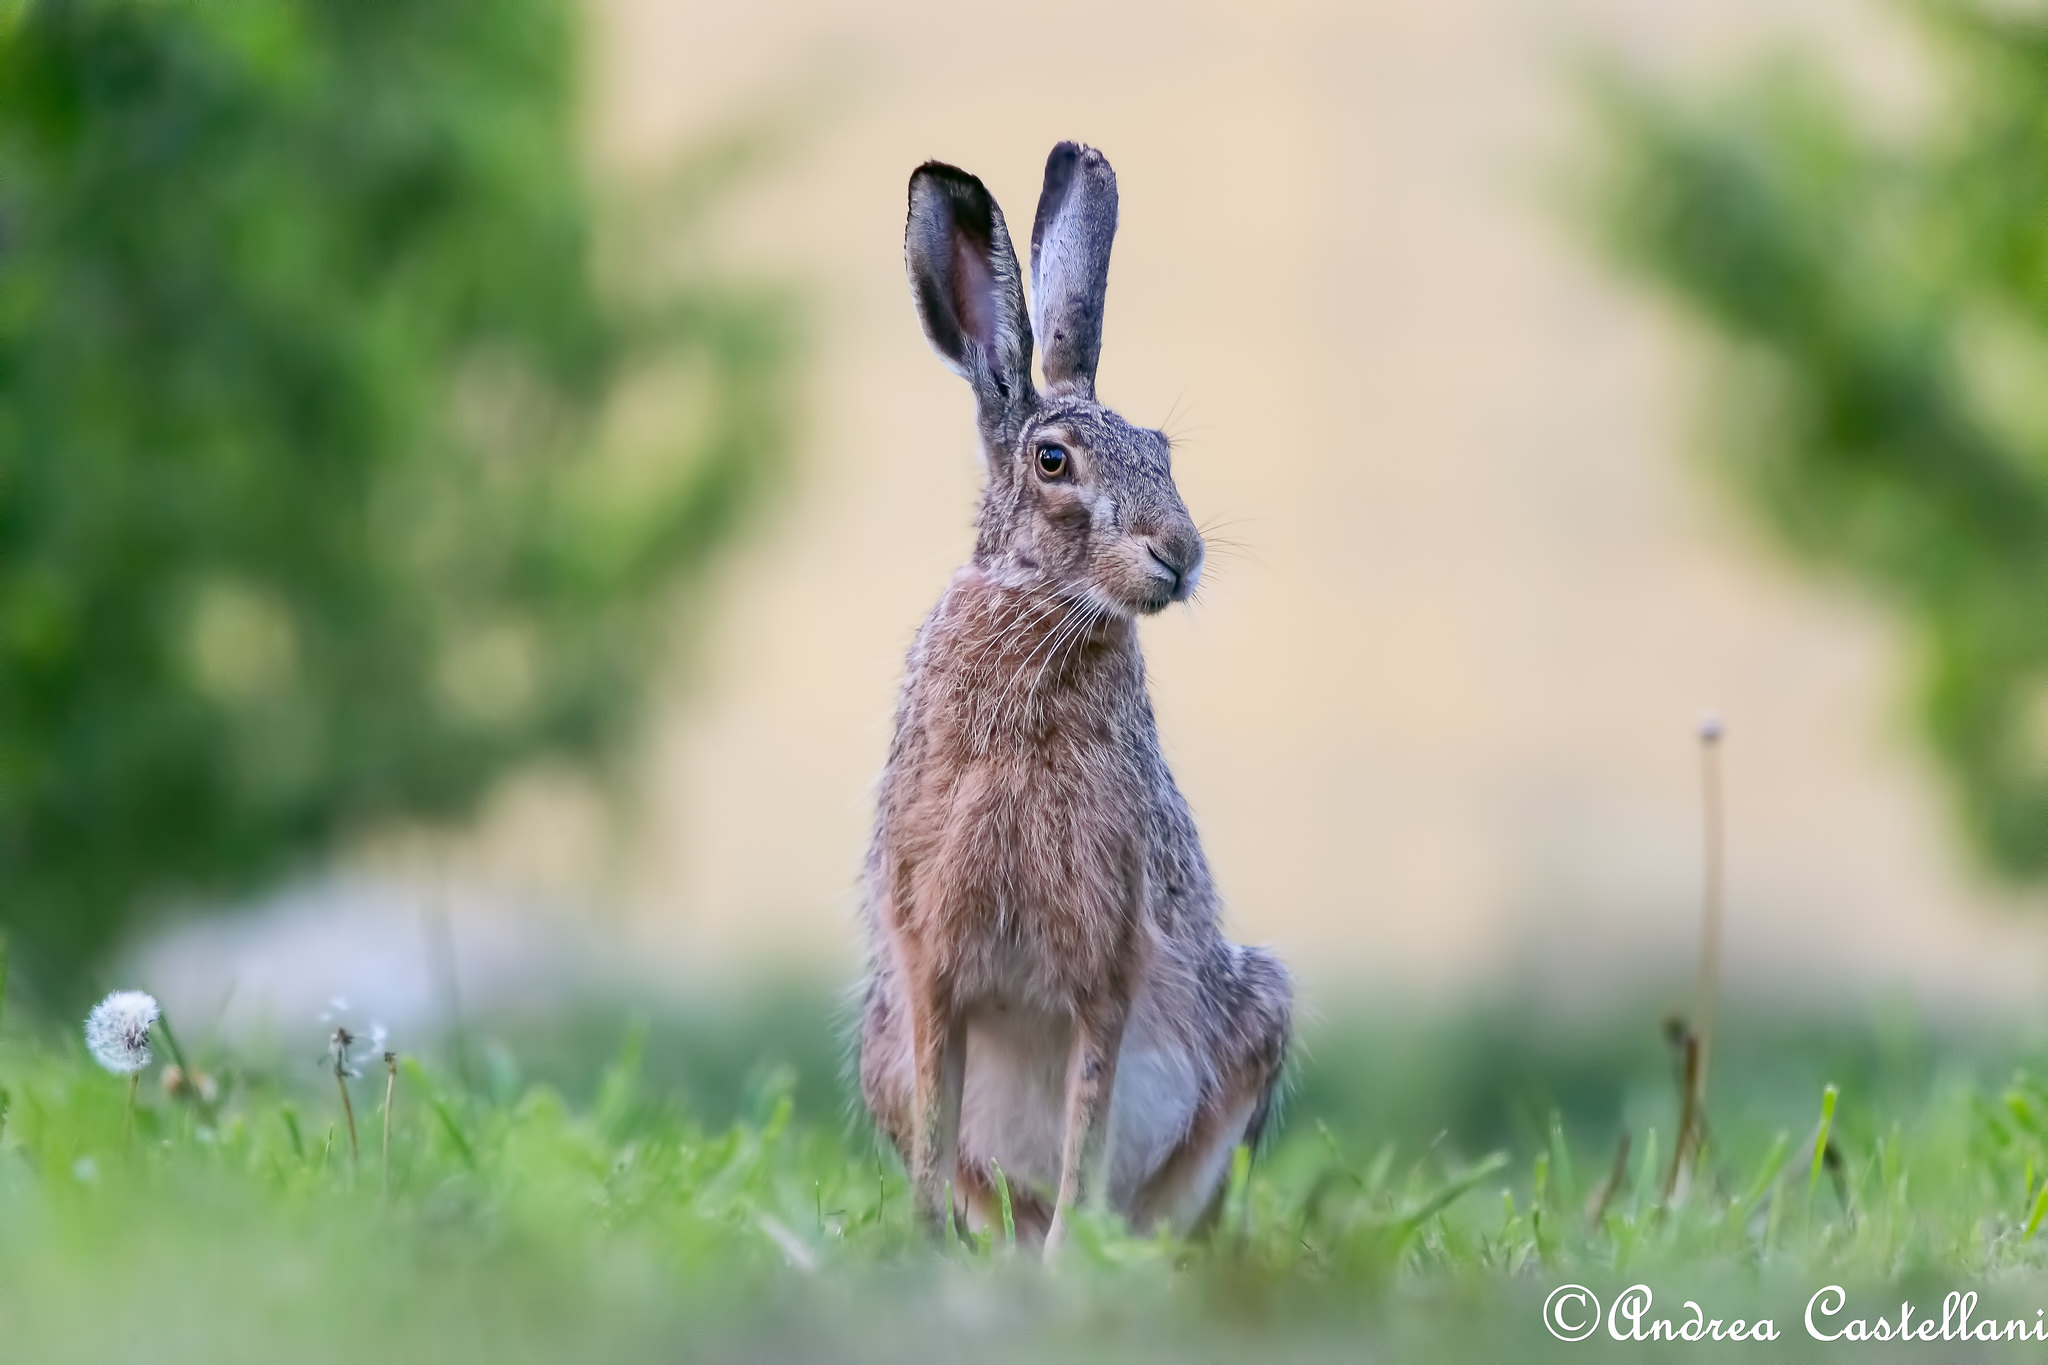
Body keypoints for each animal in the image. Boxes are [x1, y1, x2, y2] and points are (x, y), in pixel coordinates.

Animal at [857, 142, 1292, 1256]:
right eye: (1053, 461)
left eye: (1163, 452)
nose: (1179, 554)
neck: (1039, 607)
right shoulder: (928, 957)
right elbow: (937, 1125)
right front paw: (920, 1249)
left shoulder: (1107, 957)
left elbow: (1084, 1121)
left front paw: (1064, 1268)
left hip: (1257, 1023)